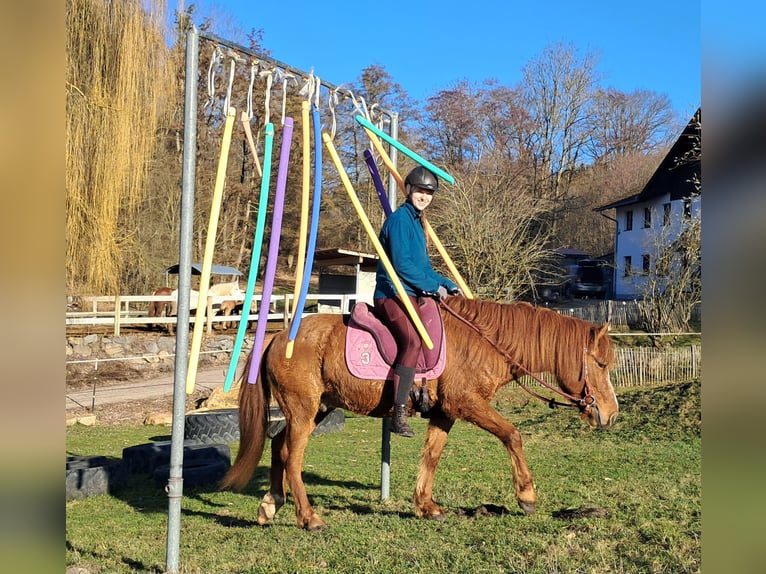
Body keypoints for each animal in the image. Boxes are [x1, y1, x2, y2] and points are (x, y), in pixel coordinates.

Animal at [220, 297, 619, 531]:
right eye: (601, 364)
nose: (612, 414)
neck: (482, 342)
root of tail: (279, 335)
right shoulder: (468, 404)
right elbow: (512, 435)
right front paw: (526, 495)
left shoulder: (445, 413)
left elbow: (431, 456)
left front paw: (426, 506)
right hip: (303, 411)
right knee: (292, 458)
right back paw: (308, 517)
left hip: (316, 409)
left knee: (278, 446)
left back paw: (271, 503)